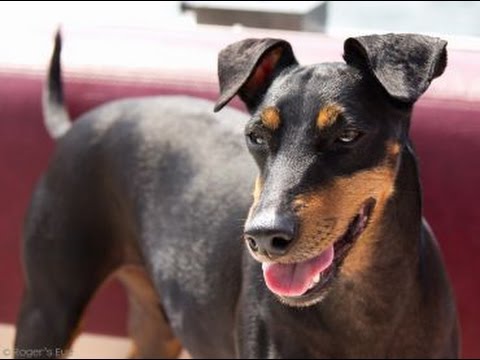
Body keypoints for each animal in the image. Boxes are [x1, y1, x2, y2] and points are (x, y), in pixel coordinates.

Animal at [14, 32, 458, 358]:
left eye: (347, 135)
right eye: (256, 136)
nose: (264, 237)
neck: (364, 305)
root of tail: (73, 127)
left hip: (156, 324)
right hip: (46, 310)